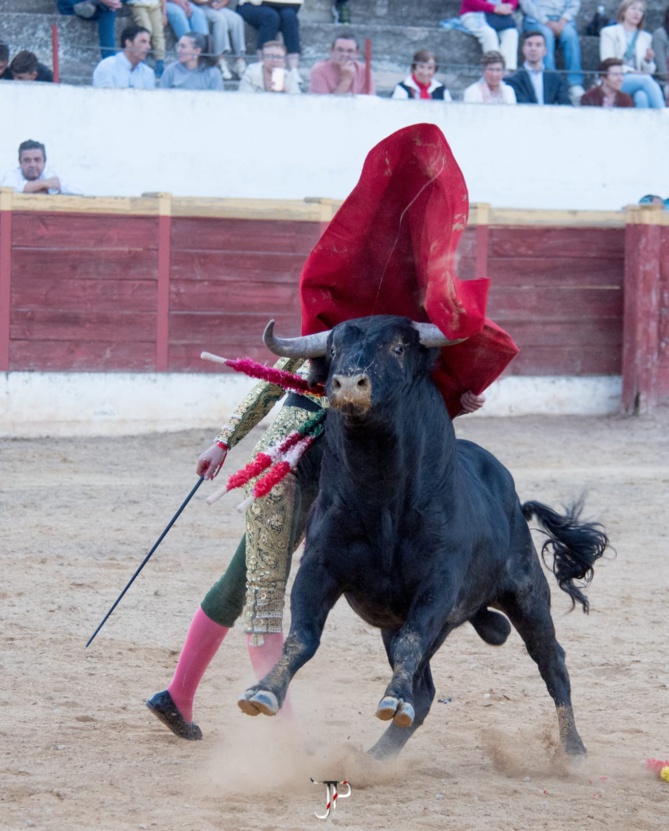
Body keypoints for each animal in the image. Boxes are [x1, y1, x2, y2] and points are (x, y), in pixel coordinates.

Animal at [237, 316, 608, 756]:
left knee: (552, 663)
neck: (382, 501)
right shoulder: (318, 568)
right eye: (333, 351)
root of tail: (514, 501)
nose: (348, 384)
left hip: (528, 594)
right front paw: (264, 690)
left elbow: (409, 644)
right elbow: (302, 637)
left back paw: (574, 751)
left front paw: (393, 698)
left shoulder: (438, 586)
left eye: (398, 349)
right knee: (426, 692)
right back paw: (374, 759)